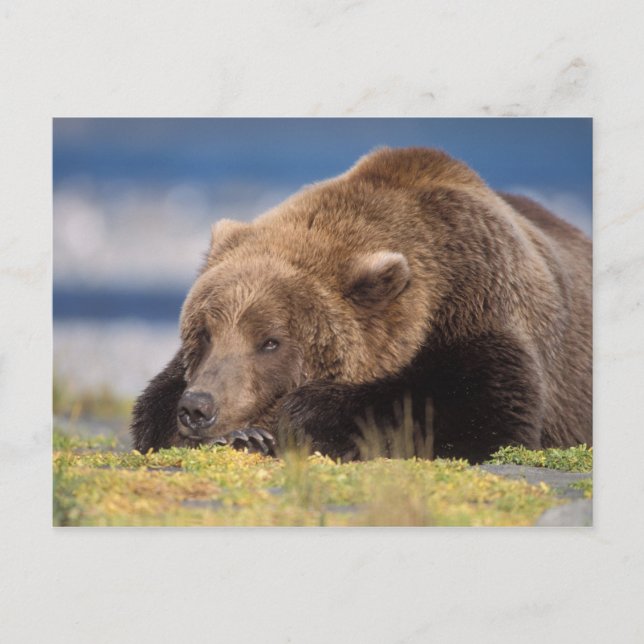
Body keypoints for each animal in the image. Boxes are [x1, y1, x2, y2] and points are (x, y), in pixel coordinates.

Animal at [130, 147, 592, 463]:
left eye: (271, 342)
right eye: (204, 333)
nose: (198, 407)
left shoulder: (482, 307)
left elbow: (478, 413)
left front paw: (293, 419)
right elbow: (151, 410)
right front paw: (241, 435)